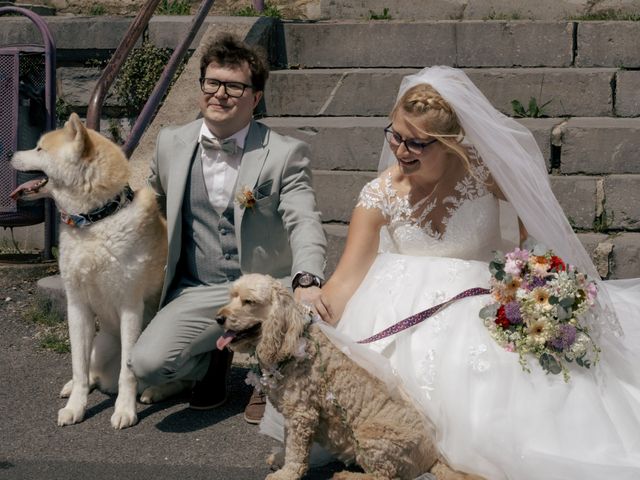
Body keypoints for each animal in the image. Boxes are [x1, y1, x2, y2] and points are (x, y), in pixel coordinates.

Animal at [10, 114, 182, 430]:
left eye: (39, 149)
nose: (7, 154)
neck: (95, 220)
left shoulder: (130, 307)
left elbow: (128, 372)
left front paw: (125, 410)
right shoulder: (77, 306)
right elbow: (78, 366)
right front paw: (75, 408)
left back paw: (154, 391)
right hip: (101, 346)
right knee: (90, 369)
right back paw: (78, 386)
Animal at [216, 274, 484, 480]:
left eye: (249, 301)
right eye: (232, 296)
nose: (219, 318)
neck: (291, 343)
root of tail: (433, 458)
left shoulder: (302, 413)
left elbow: (295, 450)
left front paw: (286, 473)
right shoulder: (296, 416)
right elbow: (288, 441)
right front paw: (281, 458)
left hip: (372, 437)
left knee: (384, 477)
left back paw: (346, 476)